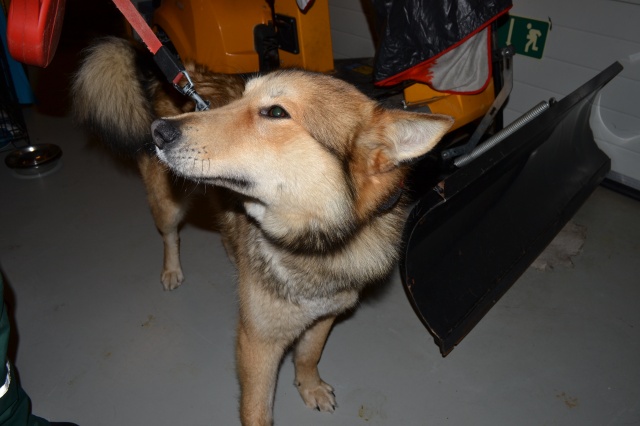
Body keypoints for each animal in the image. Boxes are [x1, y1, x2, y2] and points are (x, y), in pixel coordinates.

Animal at [72, 36, 453, 425]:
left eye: (276, 113)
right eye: (242, 98)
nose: (159, 131)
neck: (313, 246)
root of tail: (181, 72)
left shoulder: (325, 317)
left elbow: (308, 356)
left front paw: (309, 387)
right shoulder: (258, 343)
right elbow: (257, 409)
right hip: (168, 205)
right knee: (170, 235)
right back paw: (172, 270)